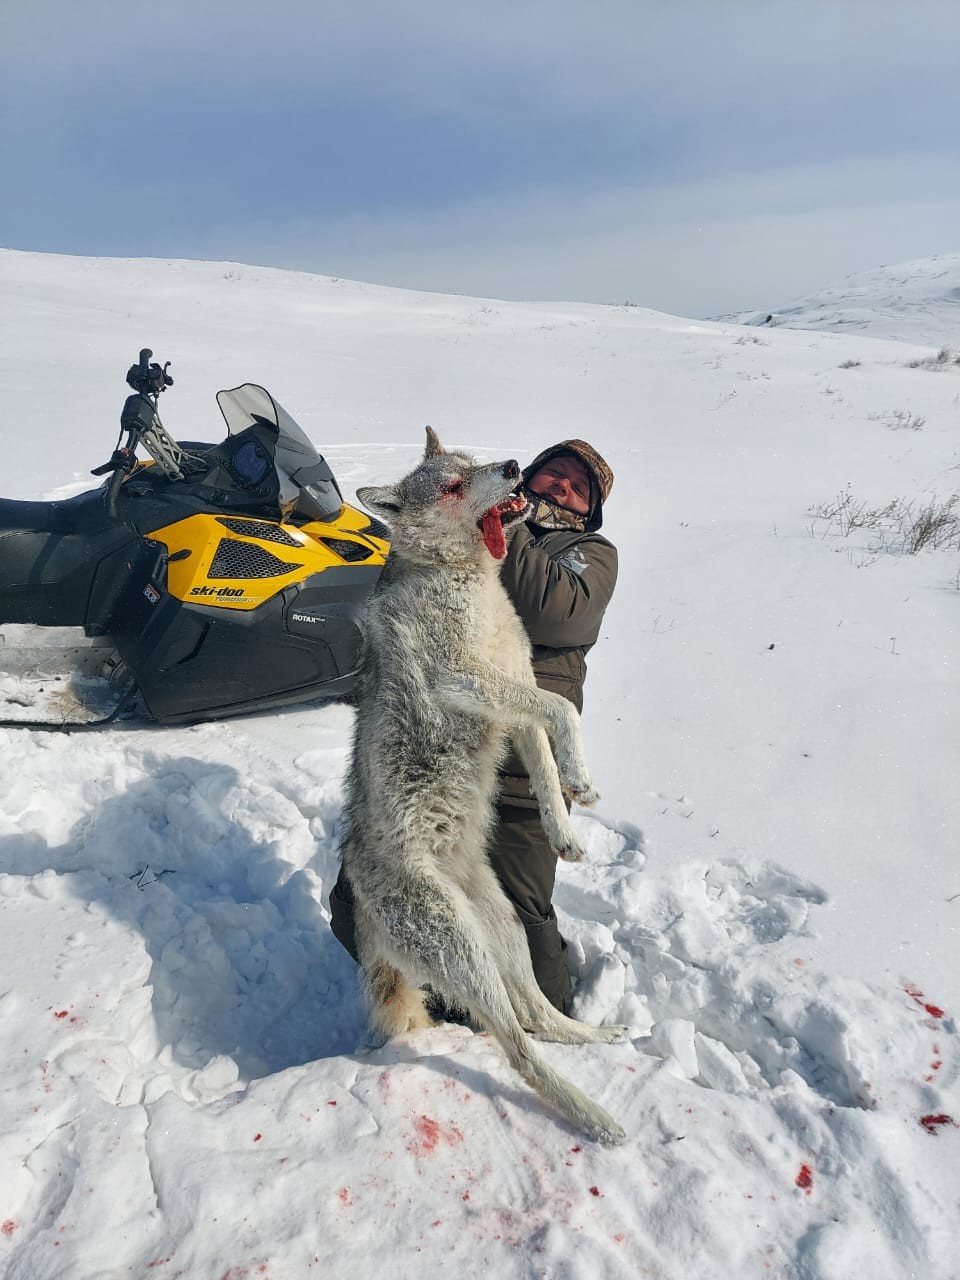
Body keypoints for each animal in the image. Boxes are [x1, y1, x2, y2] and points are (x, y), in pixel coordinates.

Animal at [340, 424, 632, 1146]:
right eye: (449, 484)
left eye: (470, 463)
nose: (513, 467)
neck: (465, 579)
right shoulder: (469, 681)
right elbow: (560, 712)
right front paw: (582, 782)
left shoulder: (513, 699)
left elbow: (547, 752)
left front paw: (567, 826)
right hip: (460, 946)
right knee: (516, 1045)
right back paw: (595, 1116)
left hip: (502, 930)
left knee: (537, 1016)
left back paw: (598, 1036)